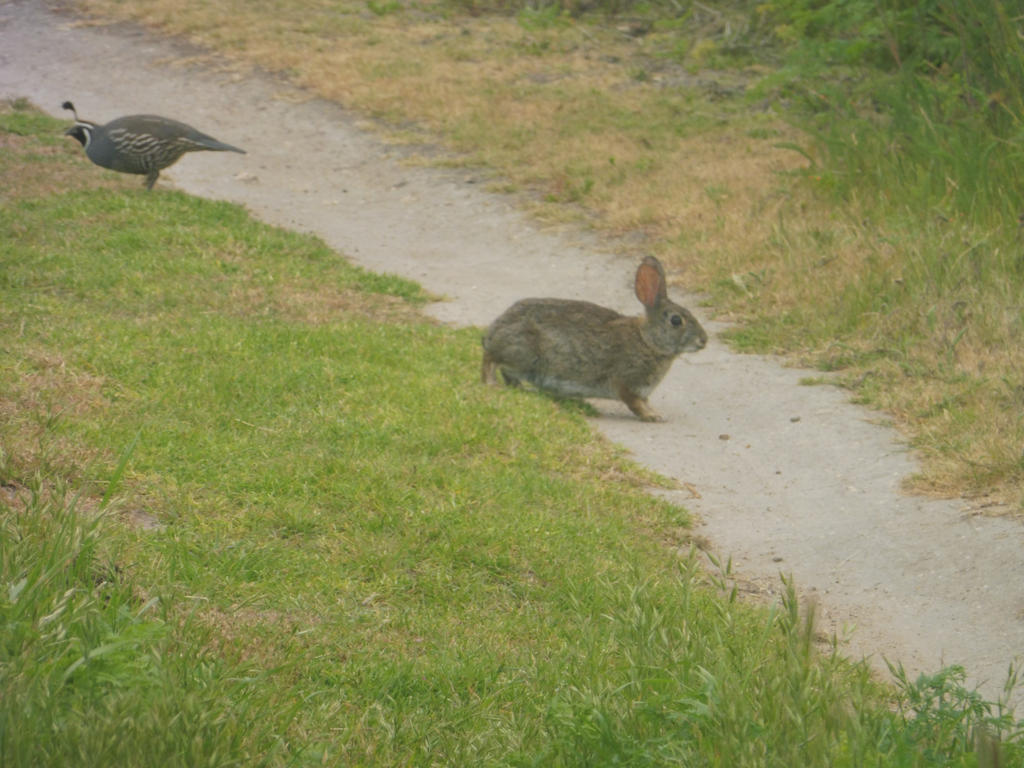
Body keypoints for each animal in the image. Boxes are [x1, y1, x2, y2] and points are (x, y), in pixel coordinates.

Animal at [481, 255, 707, 422]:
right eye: (676, 320)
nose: (703, 340)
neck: (647, 340)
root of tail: (493, 334)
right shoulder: (626, 383)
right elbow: (635, 404)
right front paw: (653, 416)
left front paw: (654, 413)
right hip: (523, 354)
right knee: (492, 361)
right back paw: (491, 384)